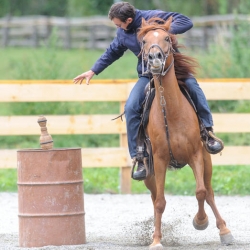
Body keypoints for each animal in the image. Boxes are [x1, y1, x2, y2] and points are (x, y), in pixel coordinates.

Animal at [137, 16, 234, 249]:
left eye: (166, 38)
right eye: (144, 41)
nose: (154, 58)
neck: (171, 112)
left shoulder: (196, 155)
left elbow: (200, 192)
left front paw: (200, 221)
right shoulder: (159, 161)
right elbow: (160, 202)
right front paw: (156, 240)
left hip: (207, 161)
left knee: (209, 192)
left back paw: (224, 230)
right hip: (149, 175)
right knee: (155, 197)